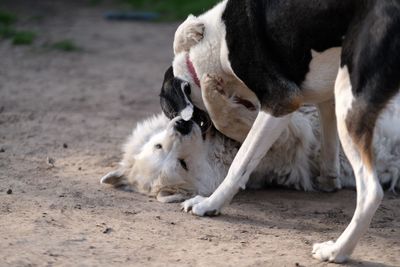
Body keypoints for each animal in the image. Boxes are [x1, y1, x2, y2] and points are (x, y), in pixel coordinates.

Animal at [156, 0, 400, 264]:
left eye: (200, 123)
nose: (181, 126)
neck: (216, 45)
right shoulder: (323, 98)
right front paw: (329, 180)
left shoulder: (281, 101)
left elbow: (239, 157)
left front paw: (211, 204)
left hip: (350, 103)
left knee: (371, 192)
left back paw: (337, 251)